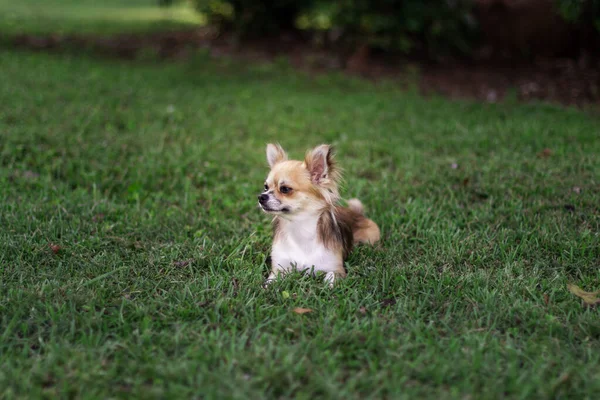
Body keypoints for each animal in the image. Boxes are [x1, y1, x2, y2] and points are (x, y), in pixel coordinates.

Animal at [256, 142, 380, 286]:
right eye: (266, 187)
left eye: (285, 189)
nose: (261, 197)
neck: (299, 228)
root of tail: (355, 212)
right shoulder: (279, 268)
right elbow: (270, 282)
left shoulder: (336, 269)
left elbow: (331, 277)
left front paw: (328, 284)